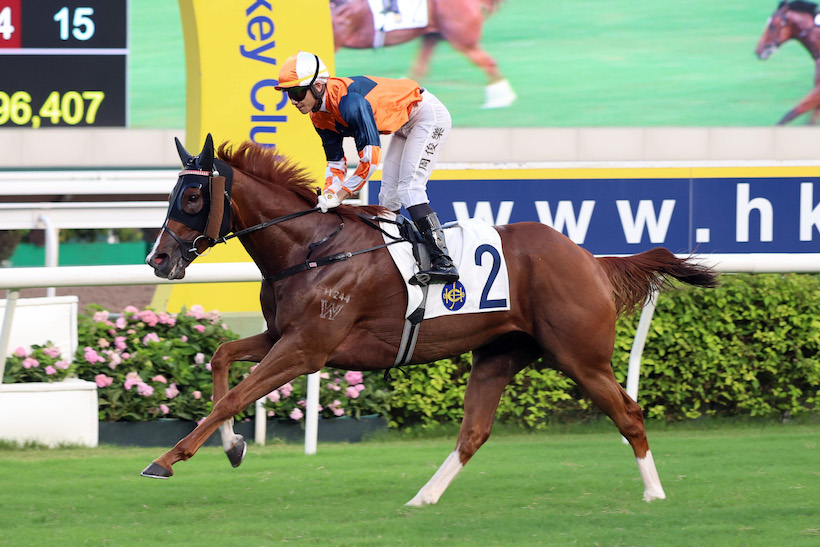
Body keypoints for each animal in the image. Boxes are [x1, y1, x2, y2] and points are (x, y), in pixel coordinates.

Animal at [143, 135, 716, 508]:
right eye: (169, 195)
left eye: (191, 197)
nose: (159, 259)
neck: (311, 249)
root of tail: (591, 259)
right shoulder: (281, 335)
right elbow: (221, 359)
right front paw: (234, 446)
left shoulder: (307, 348)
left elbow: (233, 397)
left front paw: (167, 459)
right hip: (499, 354)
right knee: (474, 433)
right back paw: (423, 498)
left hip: (581, 356)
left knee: (629, 413)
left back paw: (654, 492)